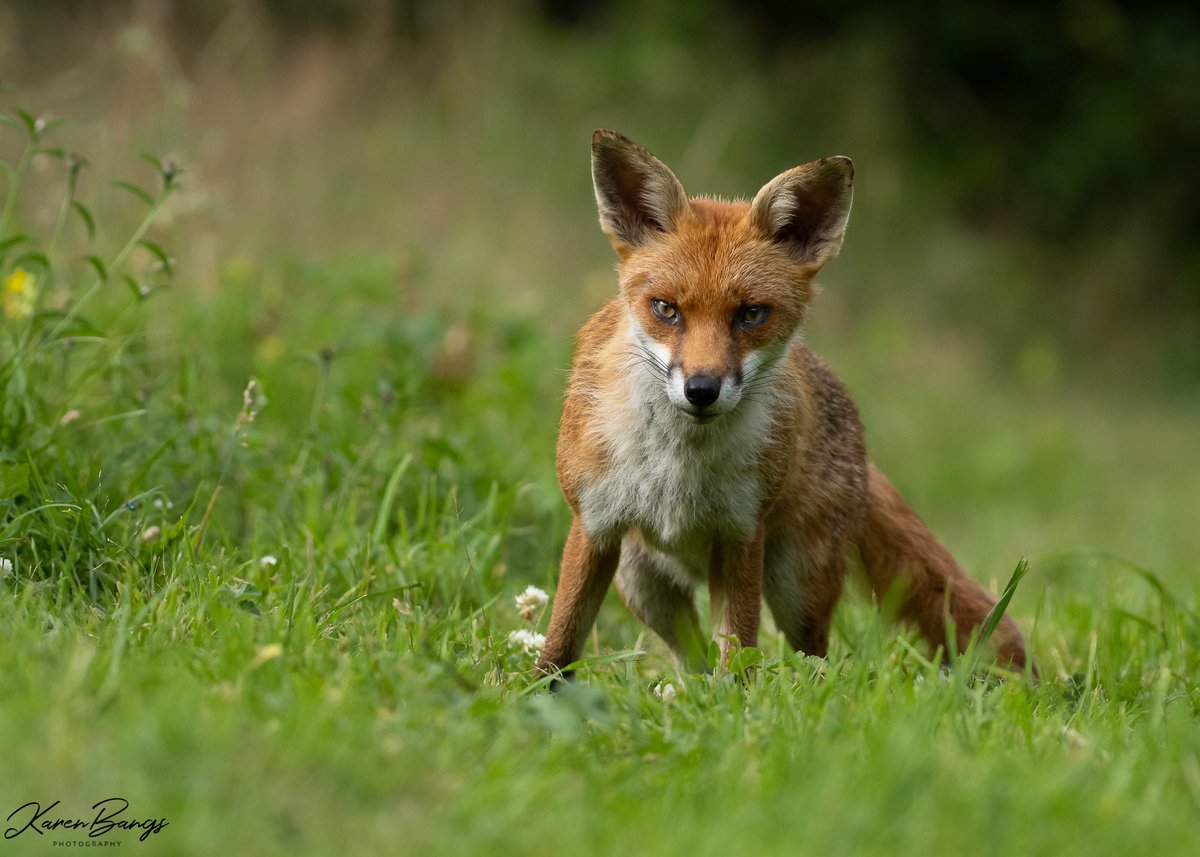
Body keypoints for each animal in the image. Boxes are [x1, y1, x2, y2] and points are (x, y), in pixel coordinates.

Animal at [535, 130, 1032, 676]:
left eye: (751, 314)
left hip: (797, 587)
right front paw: (536, 689)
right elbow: (561, 641)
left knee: (811, 659)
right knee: (692, 660)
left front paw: (735, 698)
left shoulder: (741, 534)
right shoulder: (594, 526)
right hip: (644, 584)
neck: (678, 467)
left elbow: (739, 655)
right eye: (666, 309)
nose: (701, 389)